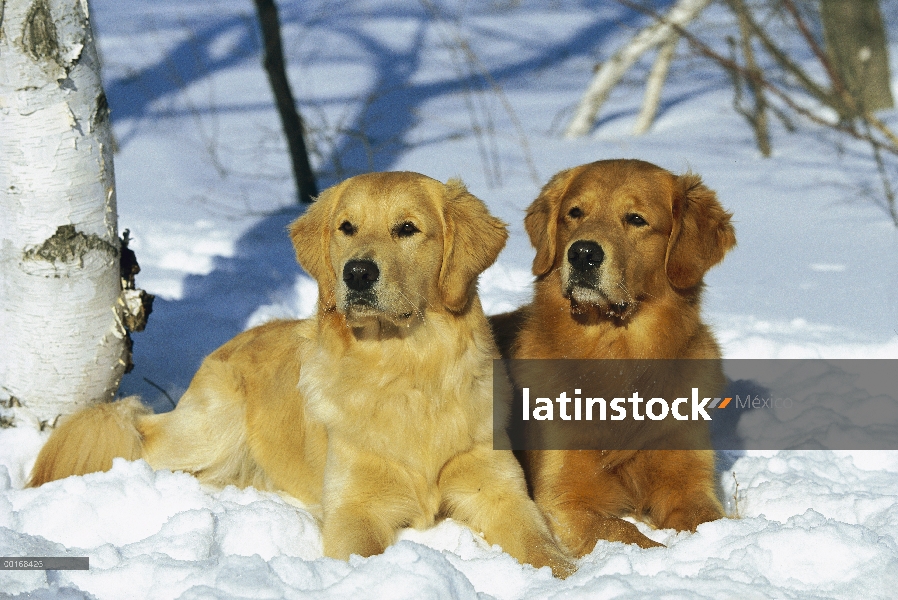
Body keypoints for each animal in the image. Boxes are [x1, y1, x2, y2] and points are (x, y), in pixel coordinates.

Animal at [33, 171, 576, 576]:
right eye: (346, 227)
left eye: (407, 228)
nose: (358, 272)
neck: (405, 374)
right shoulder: (354, 507)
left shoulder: (500, 491)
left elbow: (543, 549)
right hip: (208, 430)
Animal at [490, 159, 736, 556]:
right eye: (575, 213)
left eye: (636, 219)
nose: (583, 253)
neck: (617, 354)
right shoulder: (563, 500)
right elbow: (624, 531)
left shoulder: (689, 483)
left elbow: (708, 519)